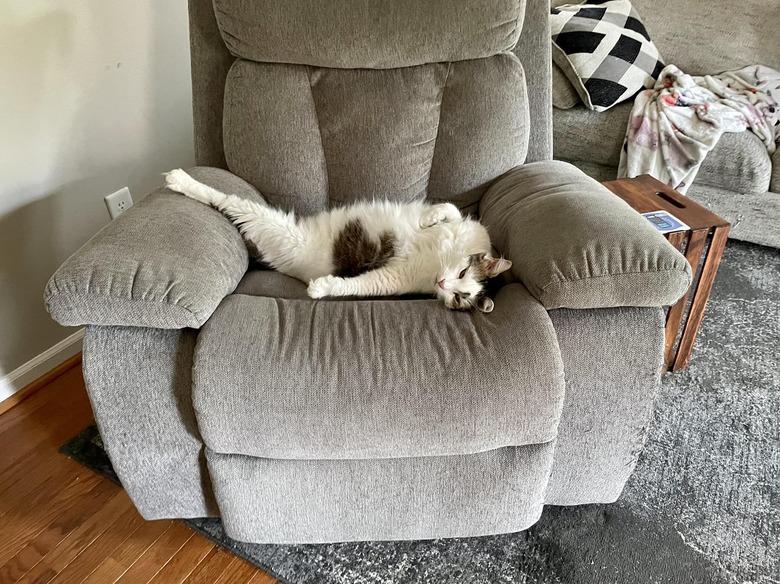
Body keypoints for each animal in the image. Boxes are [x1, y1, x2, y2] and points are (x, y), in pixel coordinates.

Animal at [163, 169, 512, 312]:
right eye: (463, 273)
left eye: (459, 298)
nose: (442, 284)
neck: (437, 259)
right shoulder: (470, 227)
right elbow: (450, 208)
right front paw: (429, 218)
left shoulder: (394, 279)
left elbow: (357, 285)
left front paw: (321, 289)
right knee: (223, 197)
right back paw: (179, 179)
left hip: (276, 230)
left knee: (227, 203)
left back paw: (179, 181)